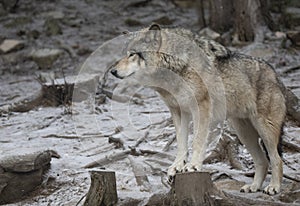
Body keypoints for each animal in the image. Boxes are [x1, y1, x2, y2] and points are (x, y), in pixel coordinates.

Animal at [109, 23, 286, 195]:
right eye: (125, 54)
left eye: (132, 54)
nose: (112, 71)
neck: (177, 66)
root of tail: (276, 75)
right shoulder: (178, 110)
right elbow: (181, 142)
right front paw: (177, 167)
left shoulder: (201, 108)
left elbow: (197, 141)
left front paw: (193, 166)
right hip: (244, 133)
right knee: (262, 161)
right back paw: (253, 187)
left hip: (264, 130)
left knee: (276, 159)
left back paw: (273, 187)